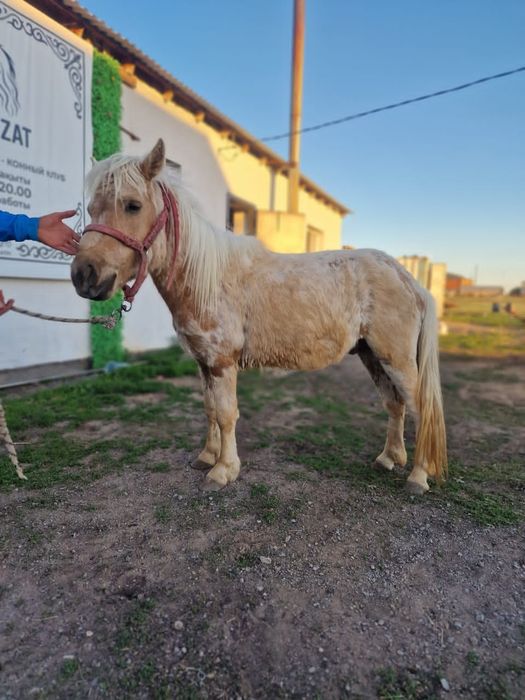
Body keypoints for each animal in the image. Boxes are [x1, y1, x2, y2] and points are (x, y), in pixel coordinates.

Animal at [71, 139, 447, 495]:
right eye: (91, 208)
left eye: (132, 205)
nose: (84, 275)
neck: (207, 279)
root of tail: (407, 278)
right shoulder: (203, 362)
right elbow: (209, 408)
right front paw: (207, 456)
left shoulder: (222, 362)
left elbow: (226, 414)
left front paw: (223, 471)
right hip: (372, 355)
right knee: (395, 403)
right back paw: (388, 458)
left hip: (396, 358)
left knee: (420, 409)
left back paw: (417, 477)